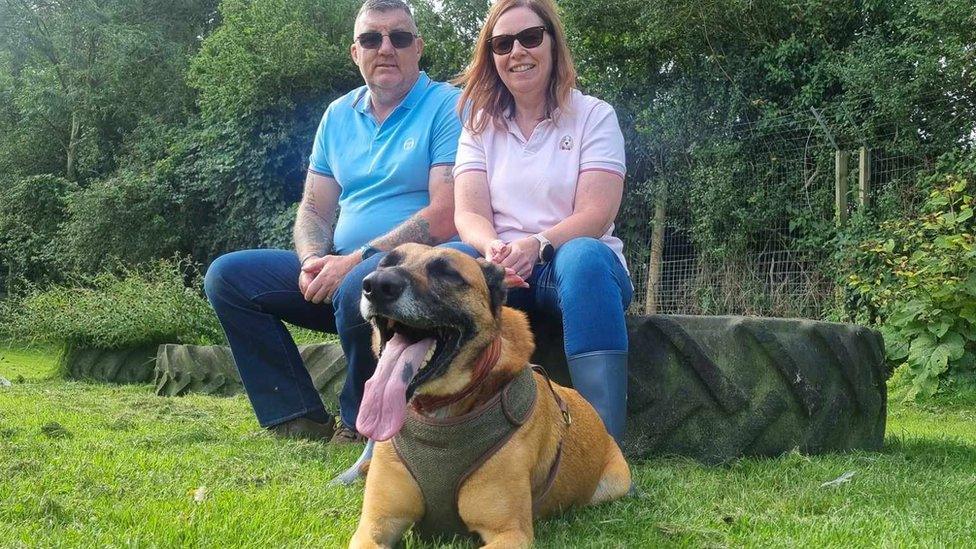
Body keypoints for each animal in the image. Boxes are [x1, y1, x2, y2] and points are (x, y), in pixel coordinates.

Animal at [346, 245, 628, 548]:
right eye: (387, 263)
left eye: (447, 272)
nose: (377, 285)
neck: (439, 410)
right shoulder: (374, 527)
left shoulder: (510, 533)